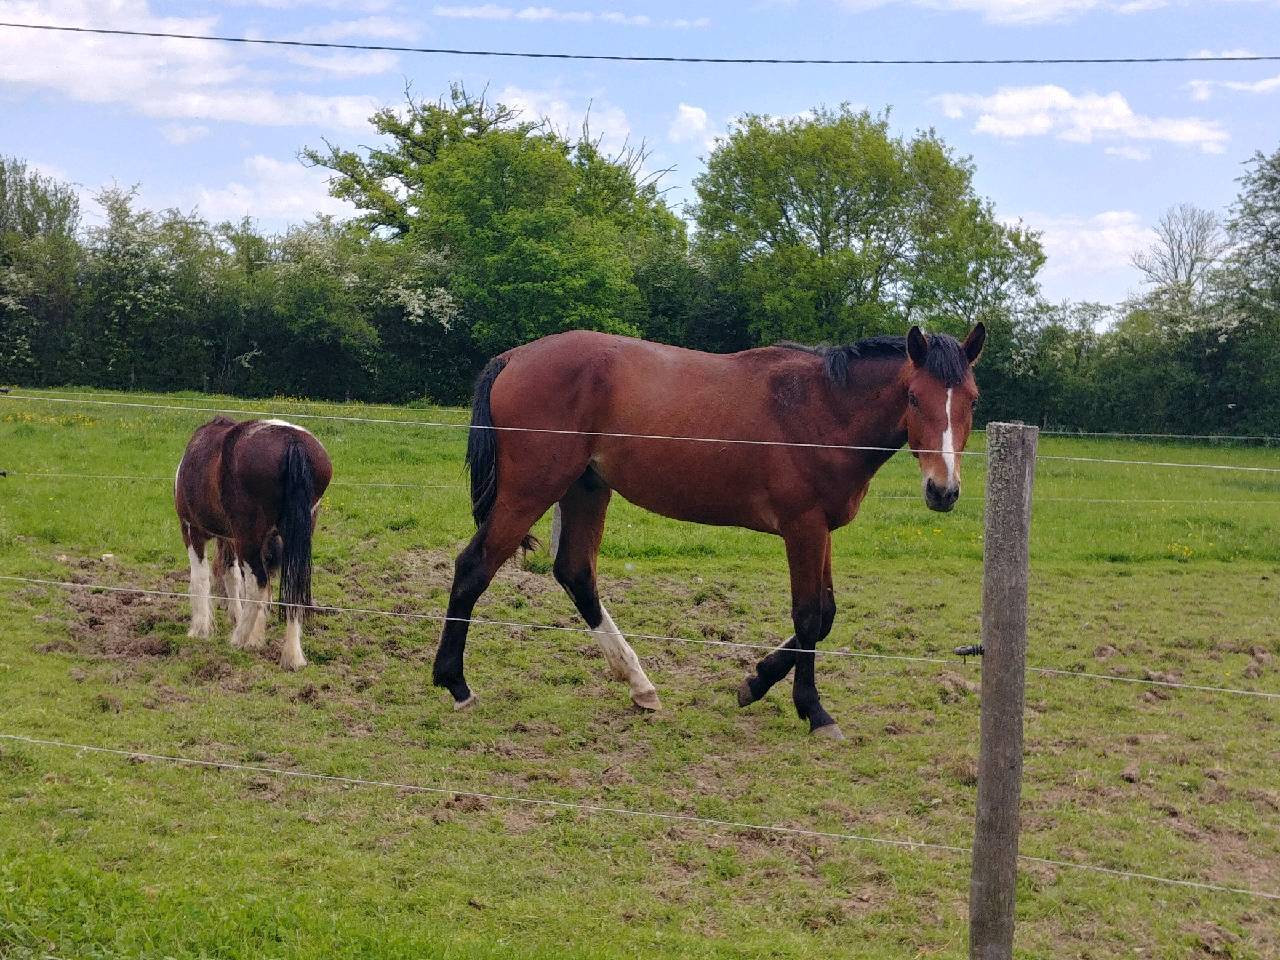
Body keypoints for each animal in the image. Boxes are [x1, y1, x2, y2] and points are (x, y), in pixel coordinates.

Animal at [174, 417, 333, 671]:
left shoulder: (191, 530)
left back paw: (238, 639)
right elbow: (233, 577)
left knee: (258, 584)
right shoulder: (235, 538)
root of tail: (293, 441)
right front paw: (254, 636)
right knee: (290, 591)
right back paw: (291, 657)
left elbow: (200, 579)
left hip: (247, 539)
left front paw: (199, 630)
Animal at [432, 324, 985, 738]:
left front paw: (755, 682)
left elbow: (825, 617)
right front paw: (813, 710)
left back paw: (640, 686)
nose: (943, 490)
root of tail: (514, 358)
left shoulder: (822, 530)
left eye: (973, 400)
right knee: (474, 567)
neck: (821, 408)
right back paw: (455, 684)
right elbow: (809, 618)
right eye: (913, 397)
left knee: (575, 574)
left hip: (585, 488)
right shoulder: (803, 528)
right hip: (531, 492)